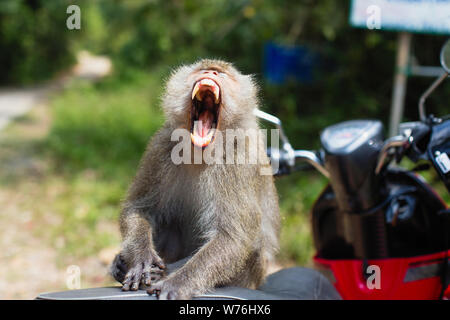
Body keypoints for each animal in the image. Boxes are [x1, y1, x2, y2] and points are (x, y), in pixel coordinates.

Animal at [110, 58, 280, 298]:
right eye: (203, 69)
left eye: (221, 74)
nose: (210, 73)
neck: (201, 153)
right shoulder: (161, 147)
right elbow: (138, 207)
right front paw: (141, 259)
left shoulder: (239, 162)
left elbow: (233, 237)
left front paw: (176, 282)